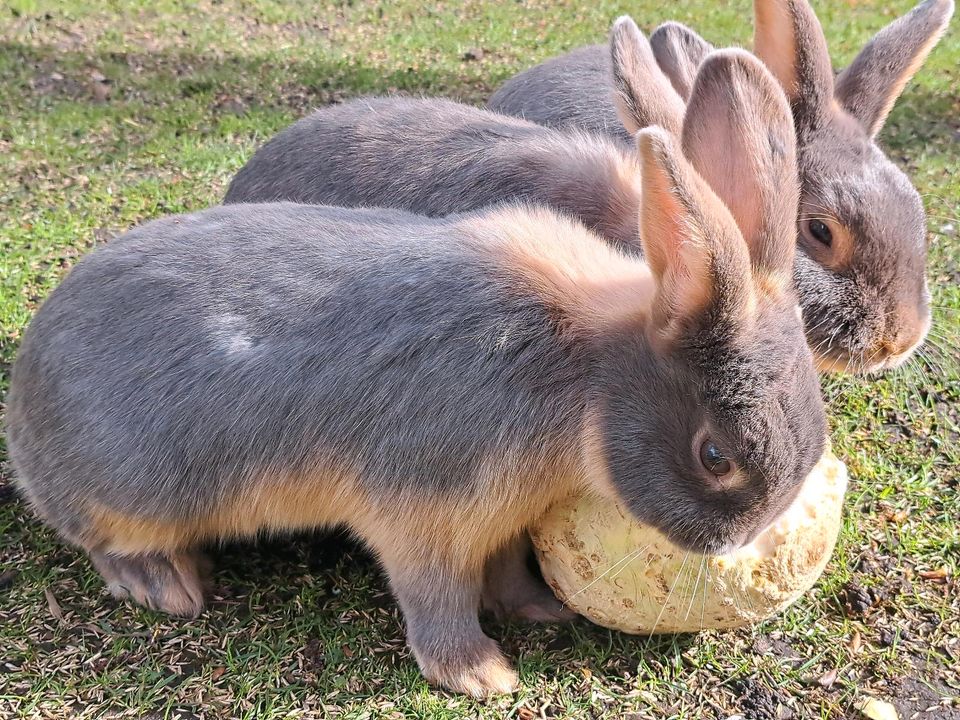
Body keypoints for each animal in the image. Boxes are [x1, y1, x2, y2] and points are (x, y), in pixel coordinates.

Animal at [7, 50, 824, 696]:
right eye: (715, 456)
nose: (739, 545)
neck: (583, 372)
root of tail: (22, 408)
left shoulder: (501, 519)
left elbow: (504, 571)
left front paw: (539, 609)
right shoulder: (427, 511)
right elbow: (436, 597)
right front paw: (482, 675)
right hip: (130, 495)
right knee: (103, 538)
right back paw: (165, 584)